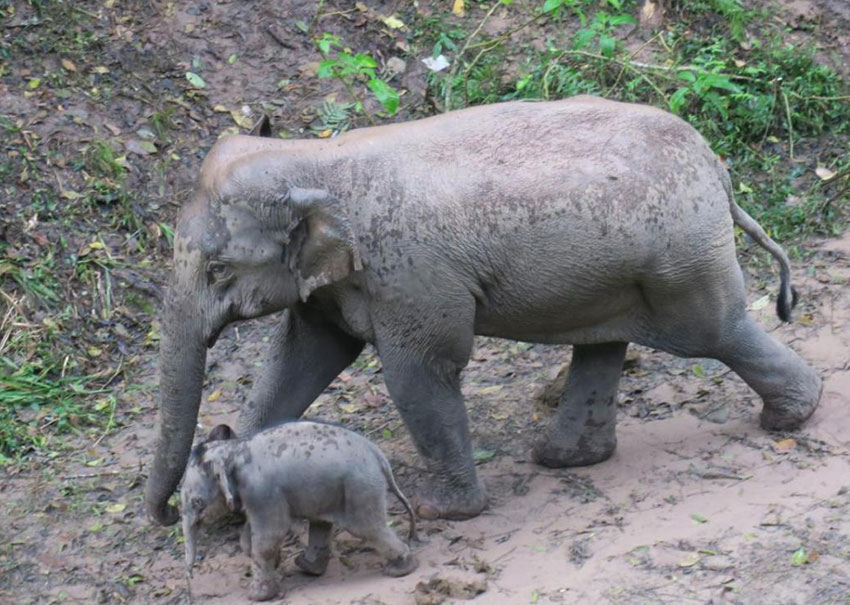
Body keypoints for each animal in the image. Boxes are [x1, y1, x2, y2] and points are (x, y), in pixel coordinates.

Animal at [146, 95, 820, 524]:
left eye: (218, 269)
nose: (164, 516)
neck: (313, 157)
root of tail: (718, 169)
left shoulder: (409, 273)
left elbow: (419, 373)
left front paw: (445, 512)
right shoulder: (334, 284)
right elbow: (300, 360)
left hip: (678, 259)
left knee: (715, 331)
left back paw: (793, 415)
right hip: (617, 271)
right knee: (604, 343)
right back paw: (565, 459)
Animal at [180, 420, 418, 600]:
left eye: (197, 502)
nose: (190, 577)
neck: (235, 450)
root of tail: (378, 455)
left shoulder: (263, 492)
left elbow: (270, 535)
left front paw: (258, 596)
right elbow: (248, 537)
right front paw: (276, 564)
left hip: (359, 488)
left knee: (367, 528)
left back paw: (400, 569)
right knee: (322, 522)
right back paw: (308, 567)